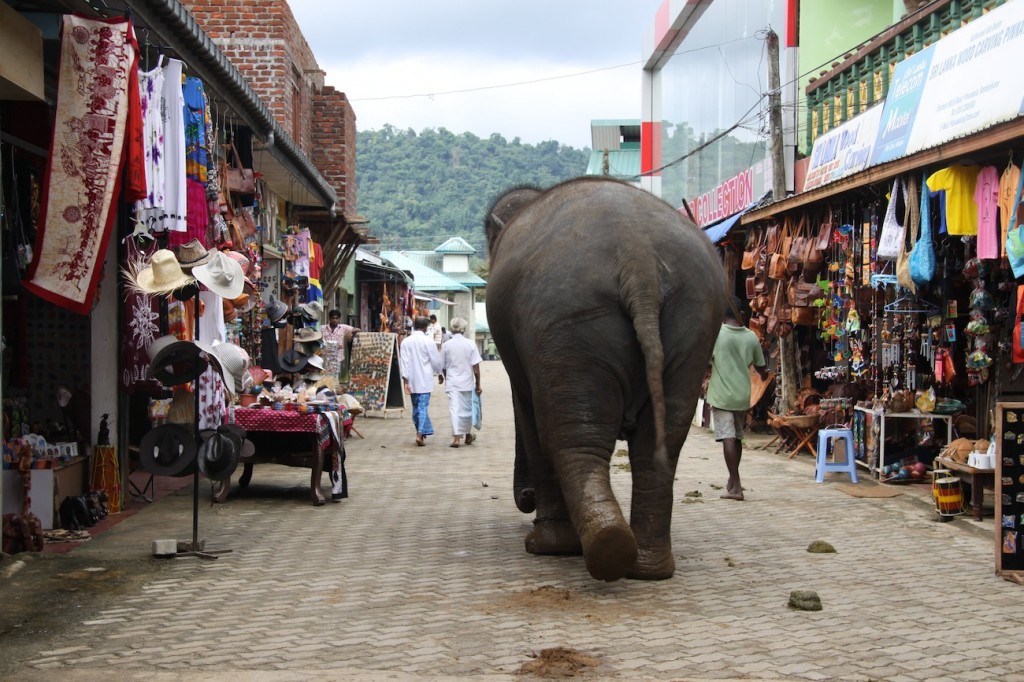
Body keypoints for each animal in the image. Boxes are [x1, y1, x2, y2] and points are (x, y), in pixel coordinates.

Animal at [483, 175, 724, 577]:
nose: (526, 498)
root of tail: (637, 255)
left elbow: (529, 418)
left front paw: (543, 545)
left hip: (568, 323)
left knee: (572, 438)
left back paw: (580, 548)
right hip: (693, 325)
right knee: (660, 440)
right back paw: (645, 567)